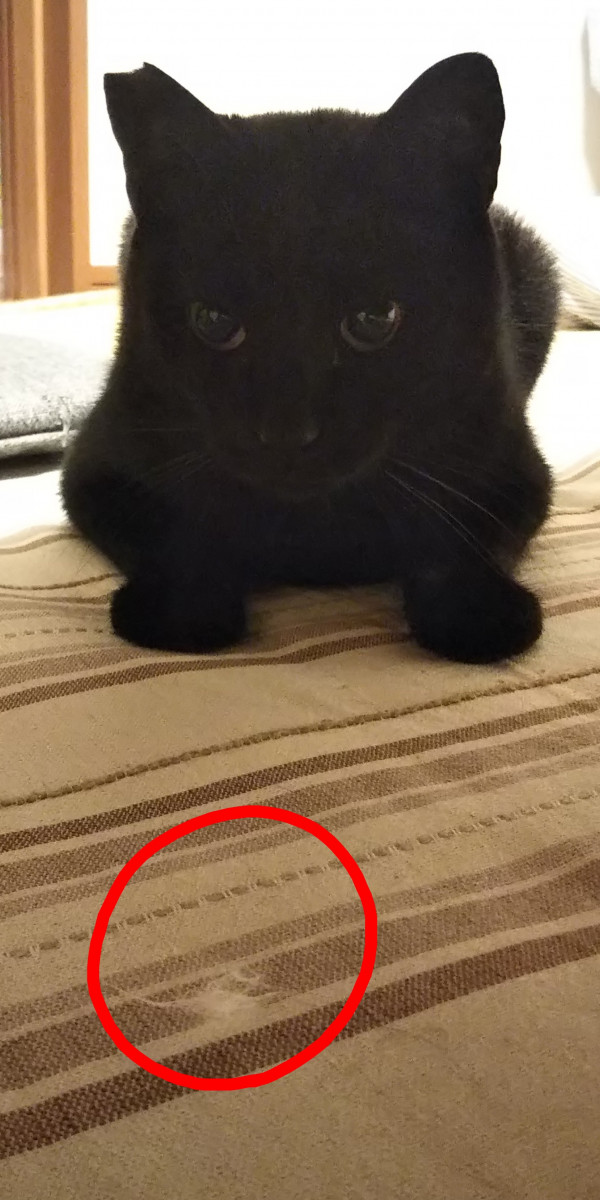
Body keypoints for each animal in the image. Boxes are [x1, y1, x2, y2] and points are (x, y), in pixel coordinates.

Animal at [61, 53, 559, 664]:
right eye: (214, 321)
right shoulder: (96, 469)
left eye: (376, 319)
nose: (285, 433)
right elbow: (173, 531)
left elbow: (463, 534)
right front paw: (183, 608)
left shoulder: (514, 470)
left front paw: (477, 613)